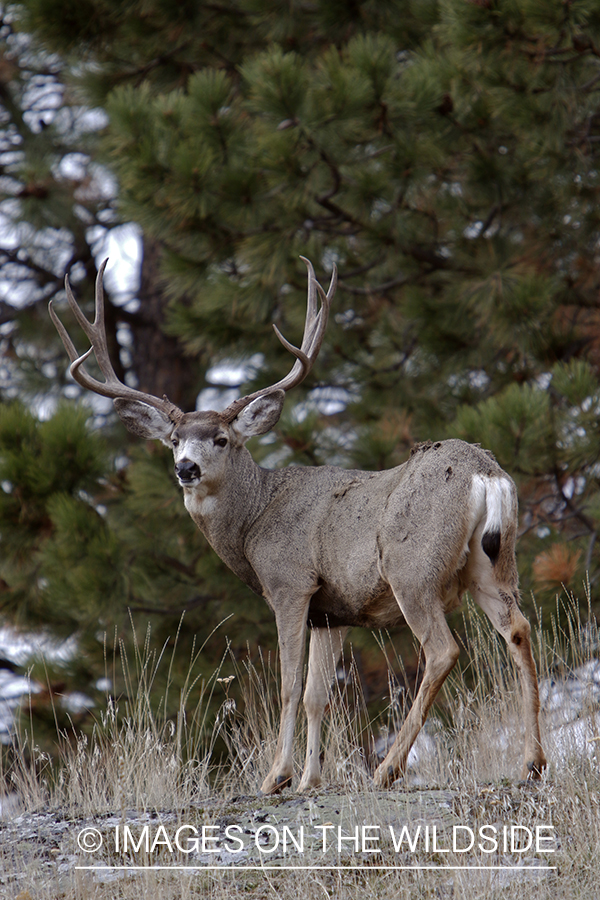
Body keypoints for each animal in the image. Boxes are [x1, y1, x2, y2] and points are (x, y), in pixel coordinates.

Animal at [50, 256, 548, 792]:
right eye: (175, 439)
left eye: (222, 439)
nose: (186, 468)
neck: (254, 520)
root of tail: (485, 472)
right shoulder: (333, 611)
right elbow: (317, 694)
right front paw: (311, 779)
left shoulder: (290, 584)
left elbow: (289, 685)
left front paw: (276, 776)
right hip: (494, 564)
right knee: (519, 630)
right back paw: (532, 762)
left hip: (413, 567)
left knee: (442, 650)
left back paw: (387, 768)